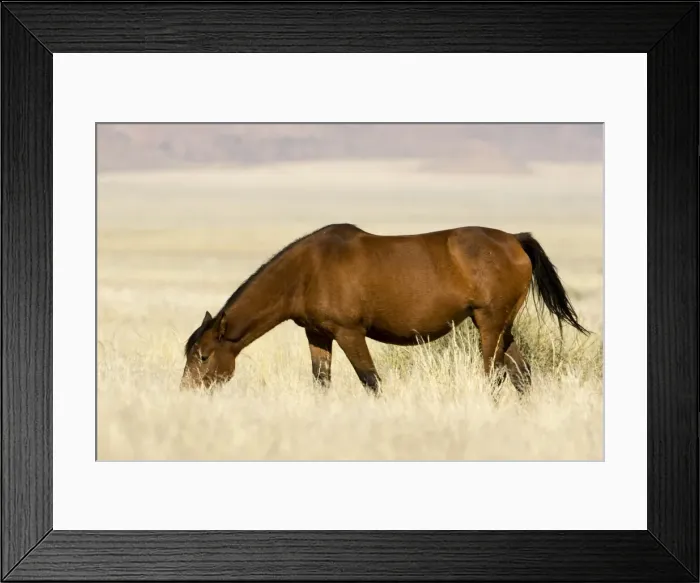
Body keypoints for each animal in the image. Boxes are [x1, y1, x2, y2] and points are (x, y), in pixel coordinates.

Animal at [180, 223, 589, 394]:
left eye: (202, 356)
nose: (187, 392)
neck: (308, 270)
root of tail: (515, 241)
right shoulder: (318, 334)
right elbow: (321, 382)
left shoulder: (349, 333)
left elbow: (371, 381)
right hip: (503, 327)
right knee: (522, 374)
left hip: (489, 325)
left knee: (493, 374)